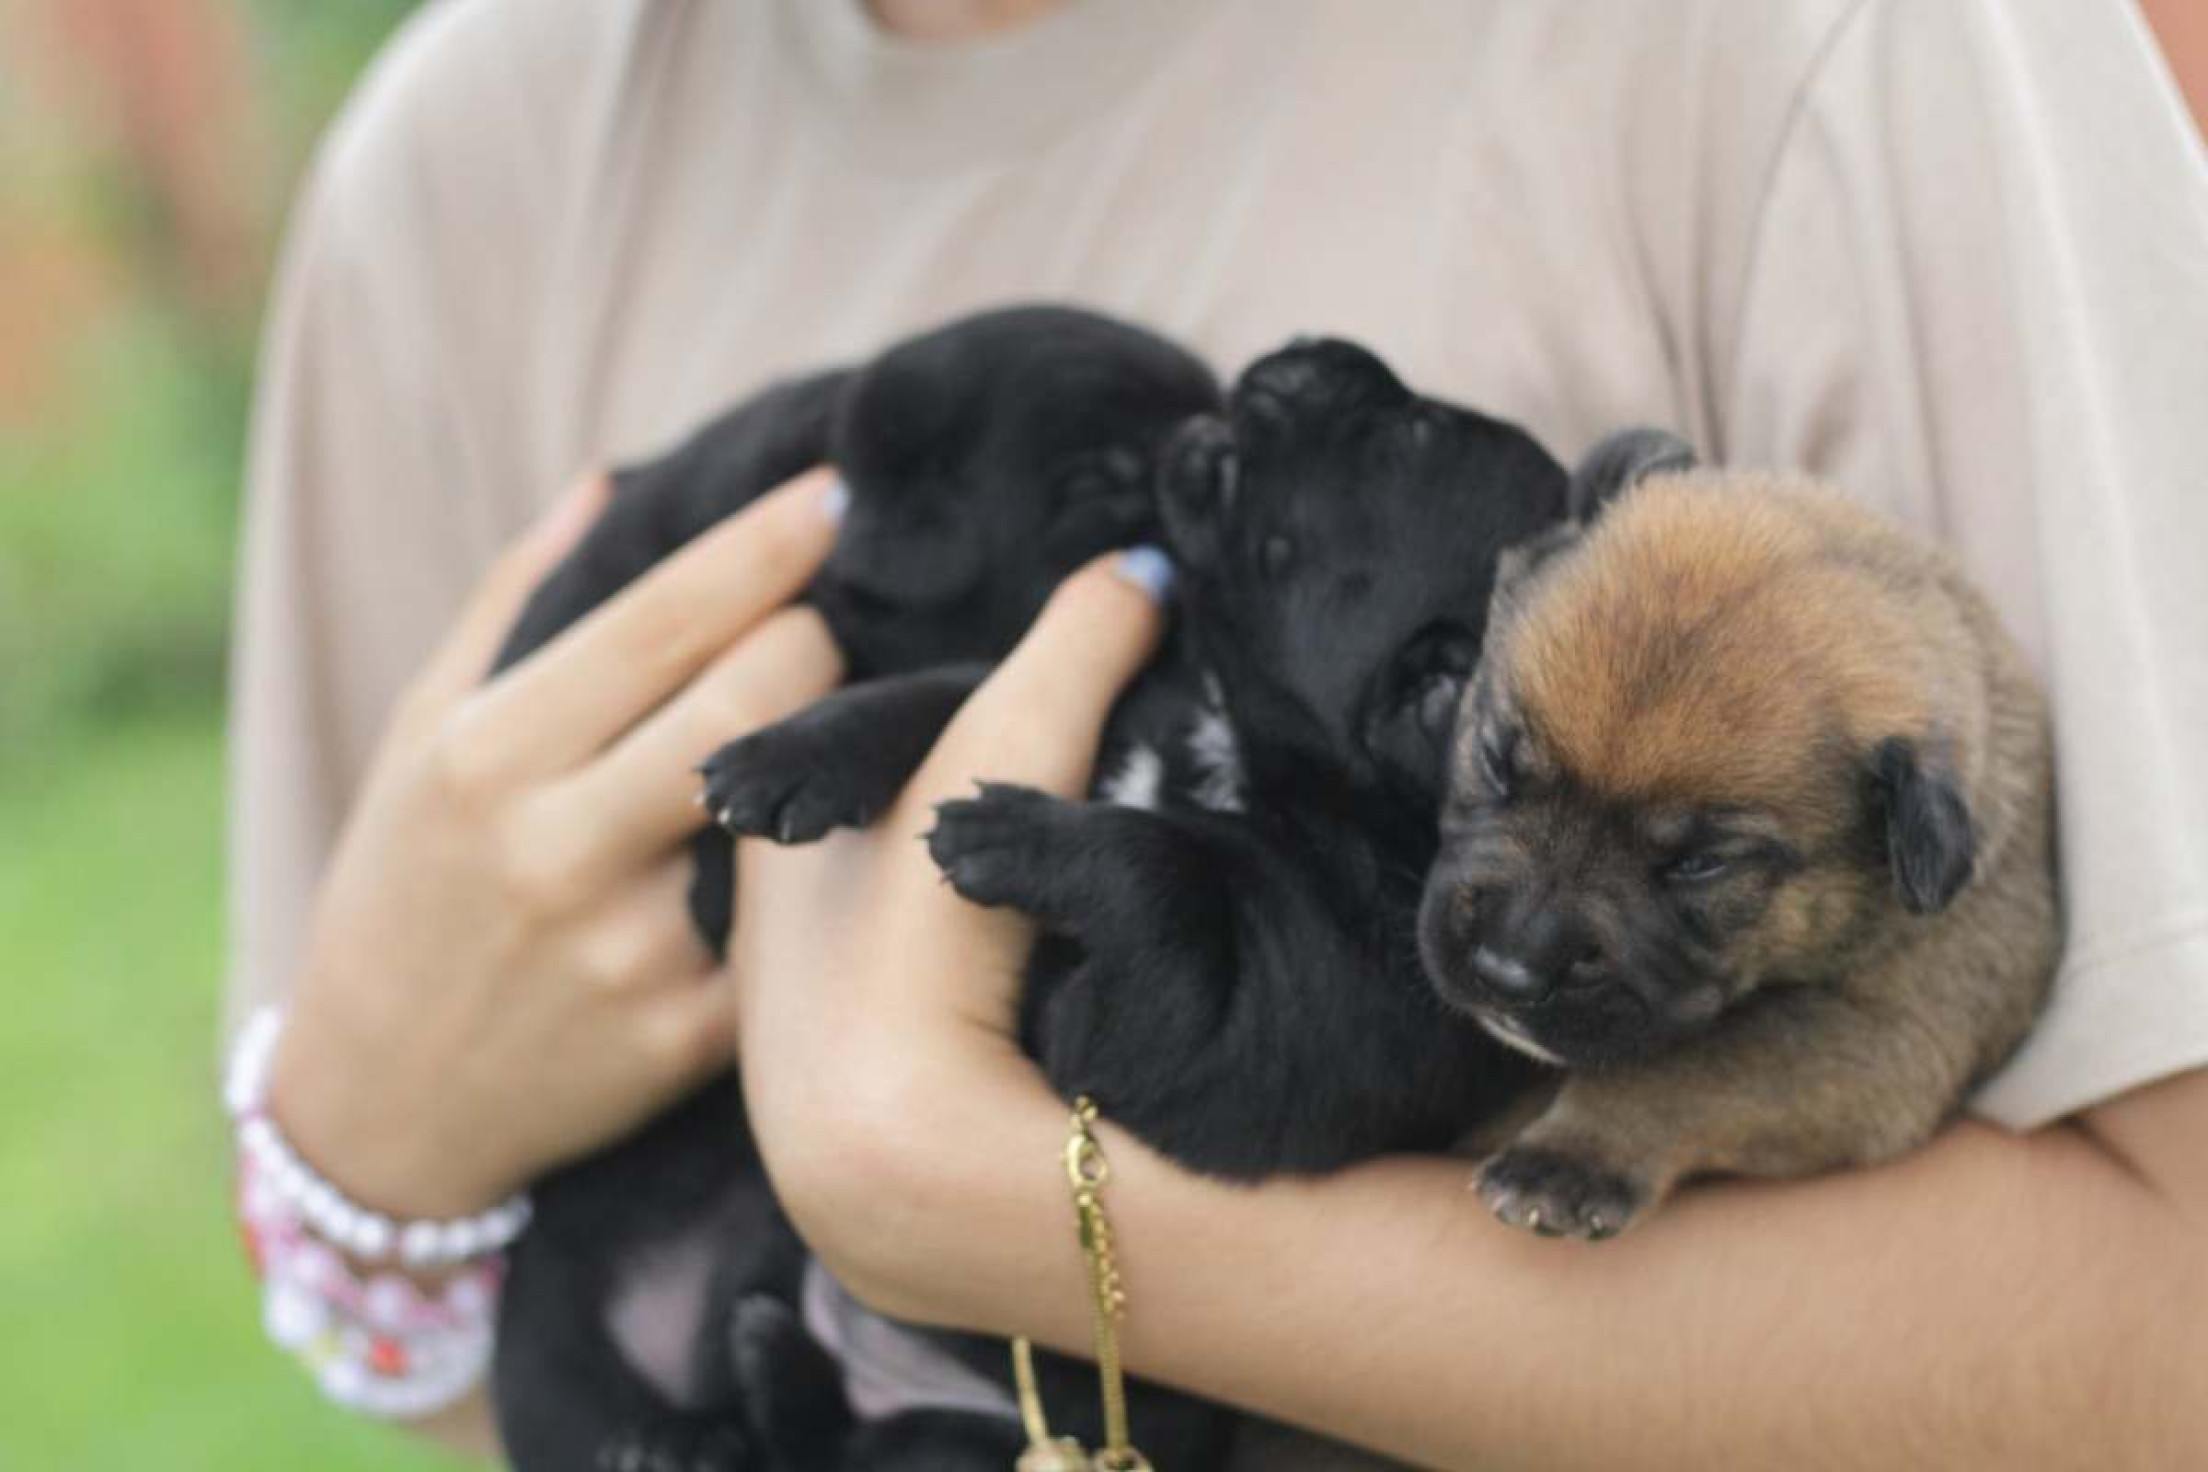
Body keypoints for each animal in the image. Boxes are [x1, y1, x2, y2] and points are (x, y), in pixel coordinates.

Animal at [1421, 436, 2057, 1244]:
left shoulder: (1891, 1036)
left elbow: (1695, 1066)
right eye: (1497, 760)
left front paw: (1567, 1158)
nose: (1507, 972)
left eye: (1700, 865)